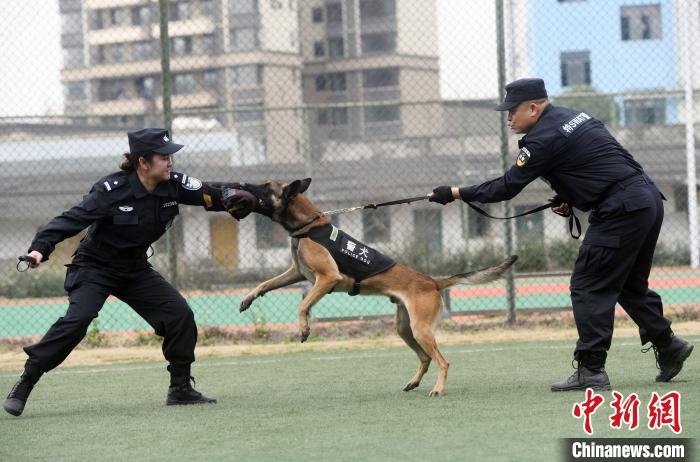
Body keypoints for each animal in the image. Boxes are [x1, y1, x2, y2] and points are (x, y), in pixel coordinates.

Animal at [232, 179, 516, 396]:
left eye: (265, 186)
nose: (242, 185)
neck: (308, 226)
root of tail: (432, 281)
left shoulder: (327, 278)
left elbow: (303, 305)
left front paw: (304, 328)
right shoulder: (296, 273)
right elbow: (265, 284)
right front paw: (248, 298)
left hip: (420, 329)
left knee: (443, 362)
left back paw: (437, 389)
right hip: (405, 328)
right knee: (426, 358)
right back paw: (414, 382)